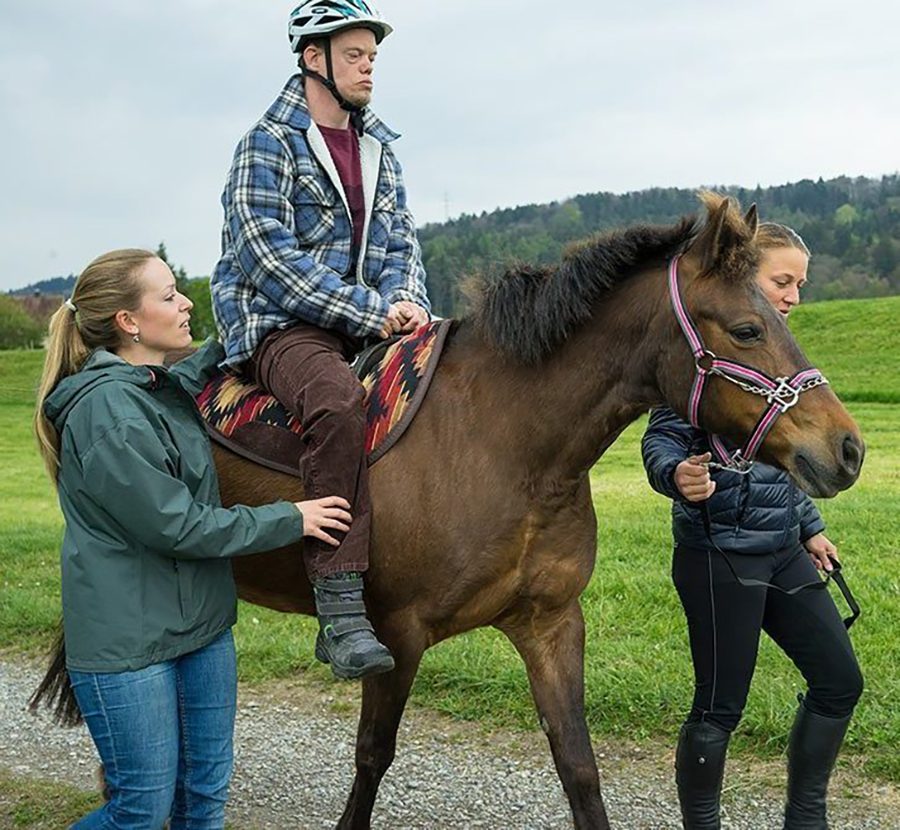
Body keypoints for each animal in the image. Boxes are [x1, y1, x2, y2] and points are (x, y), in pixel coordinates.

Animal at [35, 192, 864, 828]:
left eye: (782, 312)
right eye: (748, 328)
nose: (847, 449)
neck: (508, 444)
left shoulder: (551, 625)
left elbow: (578, 765)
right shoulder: (396, 636)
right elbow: (372, 759)